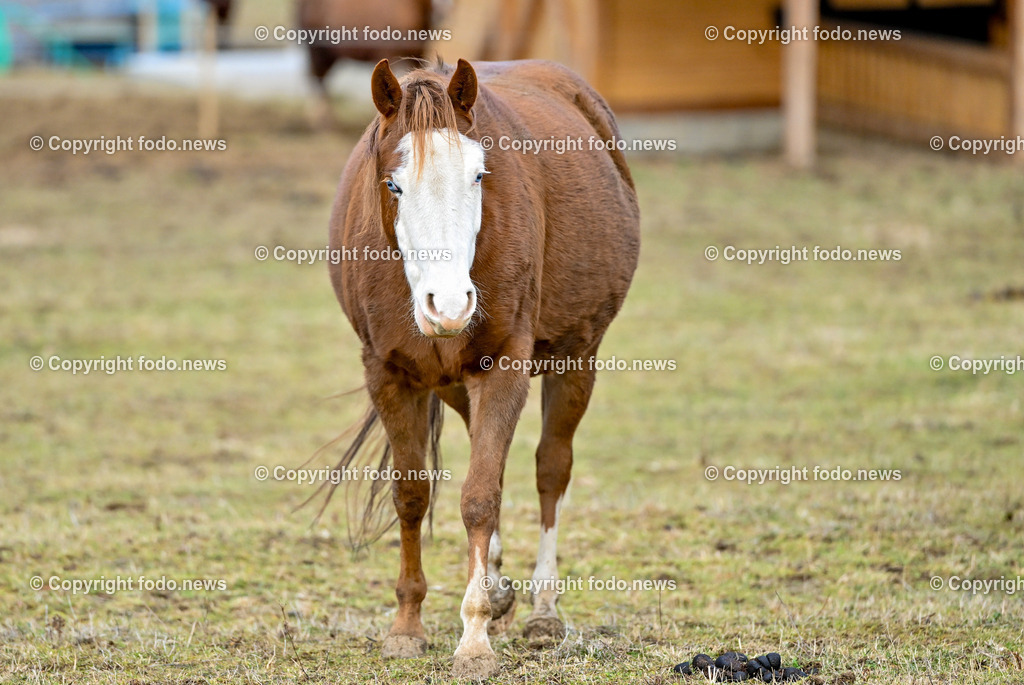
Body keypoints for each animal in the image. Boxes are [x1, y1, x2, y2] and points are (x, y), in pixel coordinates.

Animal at [325, 57, 640, 679]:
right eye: (393, 184)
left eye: (477, 177)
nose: (449, 306)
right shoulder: (388, 374)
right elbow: (413, 495)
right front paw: (408, 625)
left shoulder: (505, 368)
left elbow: (480, 498)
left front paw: (473, 639)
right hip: (454, 384)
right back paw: (498, 591)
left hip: (578, 357)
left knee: (551, 469)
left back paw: (543, 611)